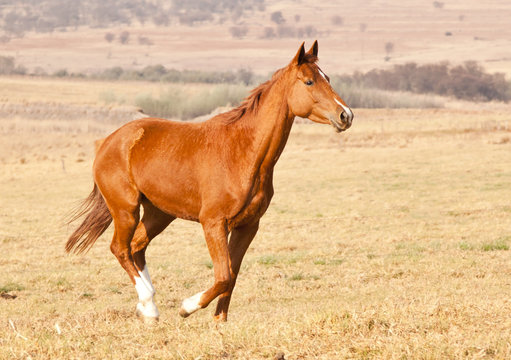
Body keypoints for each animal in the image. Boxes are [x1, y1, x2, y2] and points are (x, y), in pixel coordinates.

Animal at [66, 40, 354, 322]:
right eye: (309, 81)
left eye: (327, 78)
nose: (346, 115)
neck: (242, 152)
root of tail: (108, 142)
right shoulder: (213, 223)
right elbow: (223, 276)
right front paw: (187, 306)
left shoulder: (247, 226)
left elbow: (231, 276)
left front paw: (219, 322)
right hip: (126, 210)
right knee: (121, 249)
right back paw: (149, 305)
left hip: (159, 213)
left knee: (137, 247)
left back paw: (146, 308)